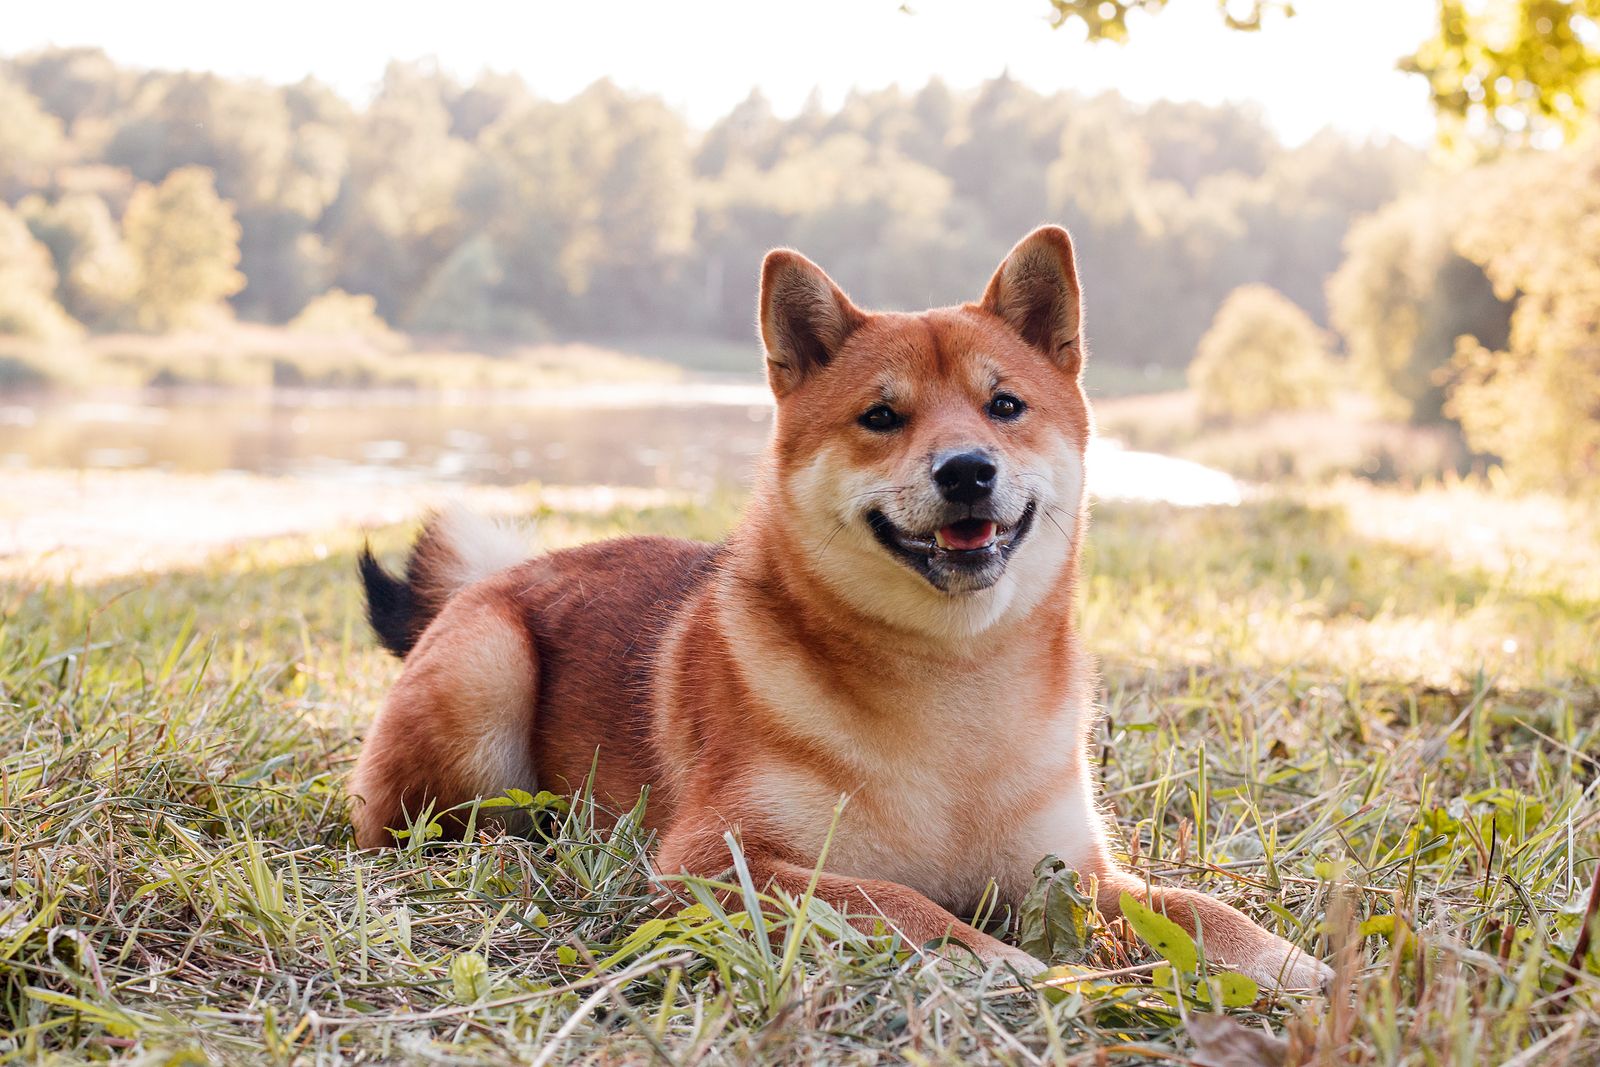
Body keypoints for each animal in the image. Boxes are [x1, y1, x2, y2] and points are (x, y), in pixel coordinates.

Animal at [353, 227, 1337, 991]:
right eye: (881, 417)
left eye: (1005, 404)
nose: (966, 469)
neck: (954, 683)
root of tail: (493, 578)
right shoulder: (713, 860)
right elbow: (894, 898)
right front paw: (996, 961)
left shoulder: (1072, 872)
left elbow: (1193, 907)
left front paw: (1290, 964)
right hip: (486, 674)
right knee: (405, 829)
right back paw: (511, 846)